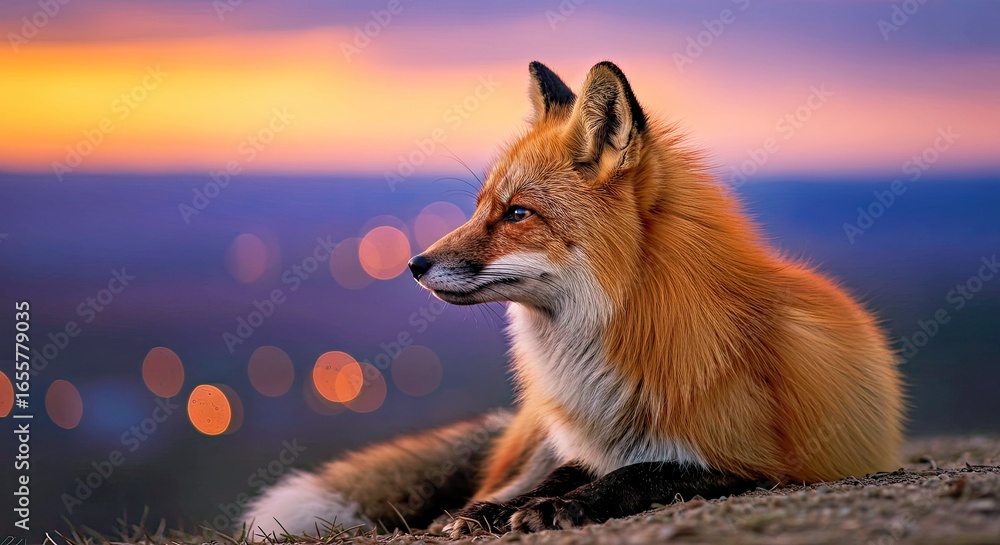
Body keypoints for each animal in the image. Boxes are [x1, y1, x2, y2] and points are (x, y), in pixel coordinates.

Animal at [244, 60, 904, 537]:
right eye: (479, 207)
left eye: (517, 213)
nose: (413, 264)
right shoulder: (581, 441)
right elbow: (553, 476)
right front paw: (494, 511)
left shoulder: (756, 461)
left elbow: (643, 472)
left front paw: (564, 506)